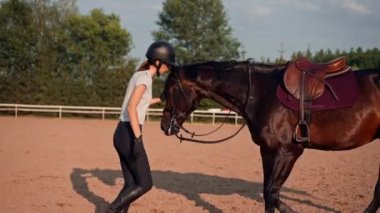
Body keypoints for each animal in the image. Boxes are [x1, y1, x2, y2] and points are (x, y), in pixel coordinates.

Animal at [159, 60, 378, 213]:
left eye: (169, 90)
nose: (164, 125)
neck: (261, 93)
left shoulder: (288, 152)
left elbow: (272, 193)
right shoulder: (268, 151)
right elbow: (268, 194)